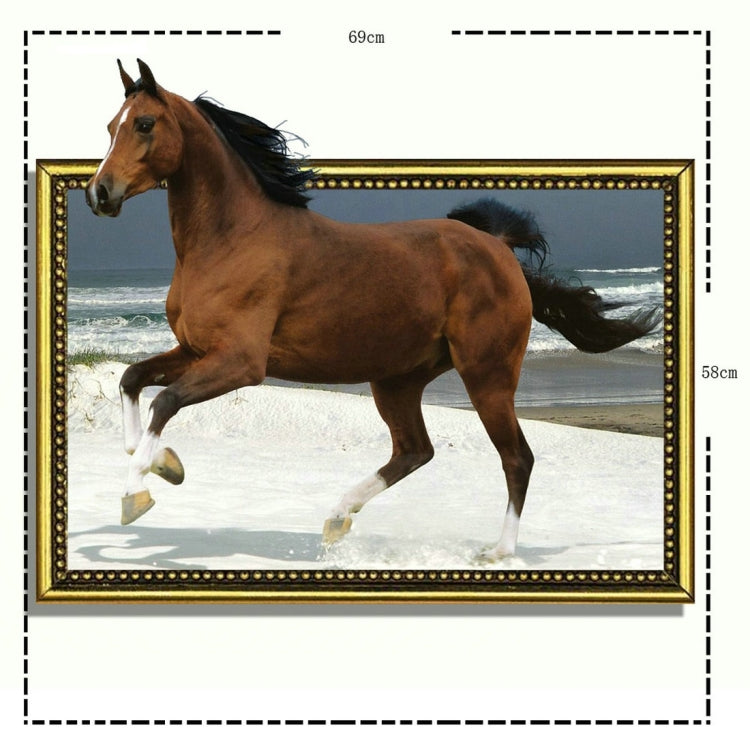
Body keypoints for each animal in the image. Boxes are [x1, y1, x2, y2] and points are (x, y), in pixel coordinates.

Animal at [85, 59, 660, 560]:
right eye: (111, 125)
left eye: (144, 124)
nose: (99, 193)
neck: (230, 238)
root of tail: (497, 247)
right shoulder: (195, 349)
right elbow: (133, 380)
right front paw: (163, 464)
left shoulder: (241, 363)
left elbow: (165, 402)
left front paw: (137, 494)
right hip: (398, 379)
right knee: (415, 450)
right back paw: (337, 517)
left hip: (487, 375)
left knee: (516, 458)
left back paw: (497, 552)